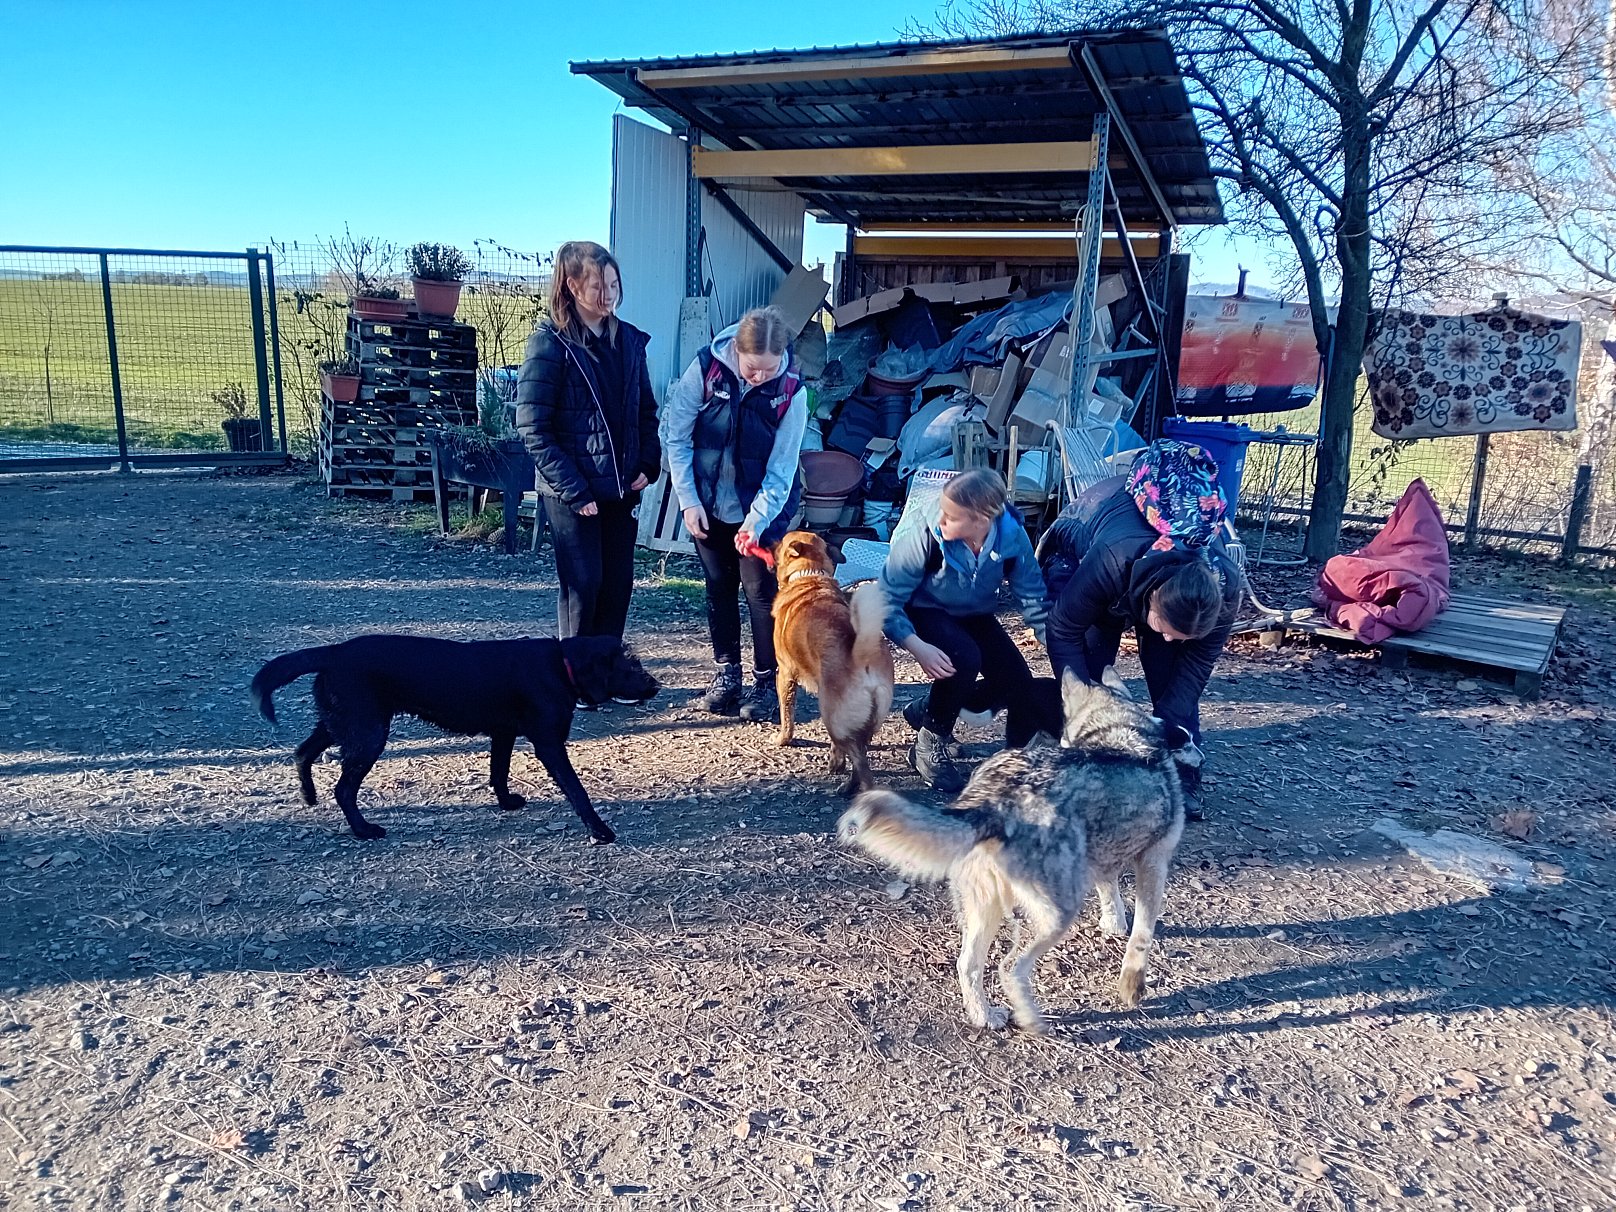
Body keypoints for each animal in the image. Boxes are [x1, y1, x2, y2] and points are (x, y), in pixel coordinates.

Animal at [249, 634, 658, 842]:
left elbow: (498, 772)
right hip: (368, 734)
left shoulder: (503, 733)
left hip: (342, 722)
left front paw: (506, 802)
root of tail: (332, 653)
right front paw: (600, 829)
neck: (561, 663)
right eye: (630, 665)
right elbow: (577, 790)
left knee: (302, 752)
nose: (656, 685)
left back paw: (309, 796)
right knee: (344, 788)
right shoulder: (549, 743)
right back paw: (364, 830)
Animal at [771, 531, 895, 795]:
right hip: (865, 719)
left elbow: (787, 715)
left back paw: (853, 789)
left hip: (830, 715)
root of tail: (862, 654)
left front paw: (783, 739)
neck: (809, 575)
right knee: (859, 753)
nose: (770, 541)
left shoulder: (785, 674)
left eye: (782, 542)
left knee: (860, 763)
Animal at [837, 669, 1187, 1032]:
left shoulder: (1104, 858)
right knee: (1010, 968)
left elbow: (1111, 895)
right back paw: (1032, 1019)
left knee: (967, 965)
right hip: (1057, 916)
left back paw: (984, 1016)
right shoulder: (1154, 863)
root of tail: (992, 801)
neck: (1121, 731)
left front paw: (1113, 924)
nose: (1179, 734)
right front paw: (1132, 984)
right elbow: (1142, 933)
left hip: (985, 909)